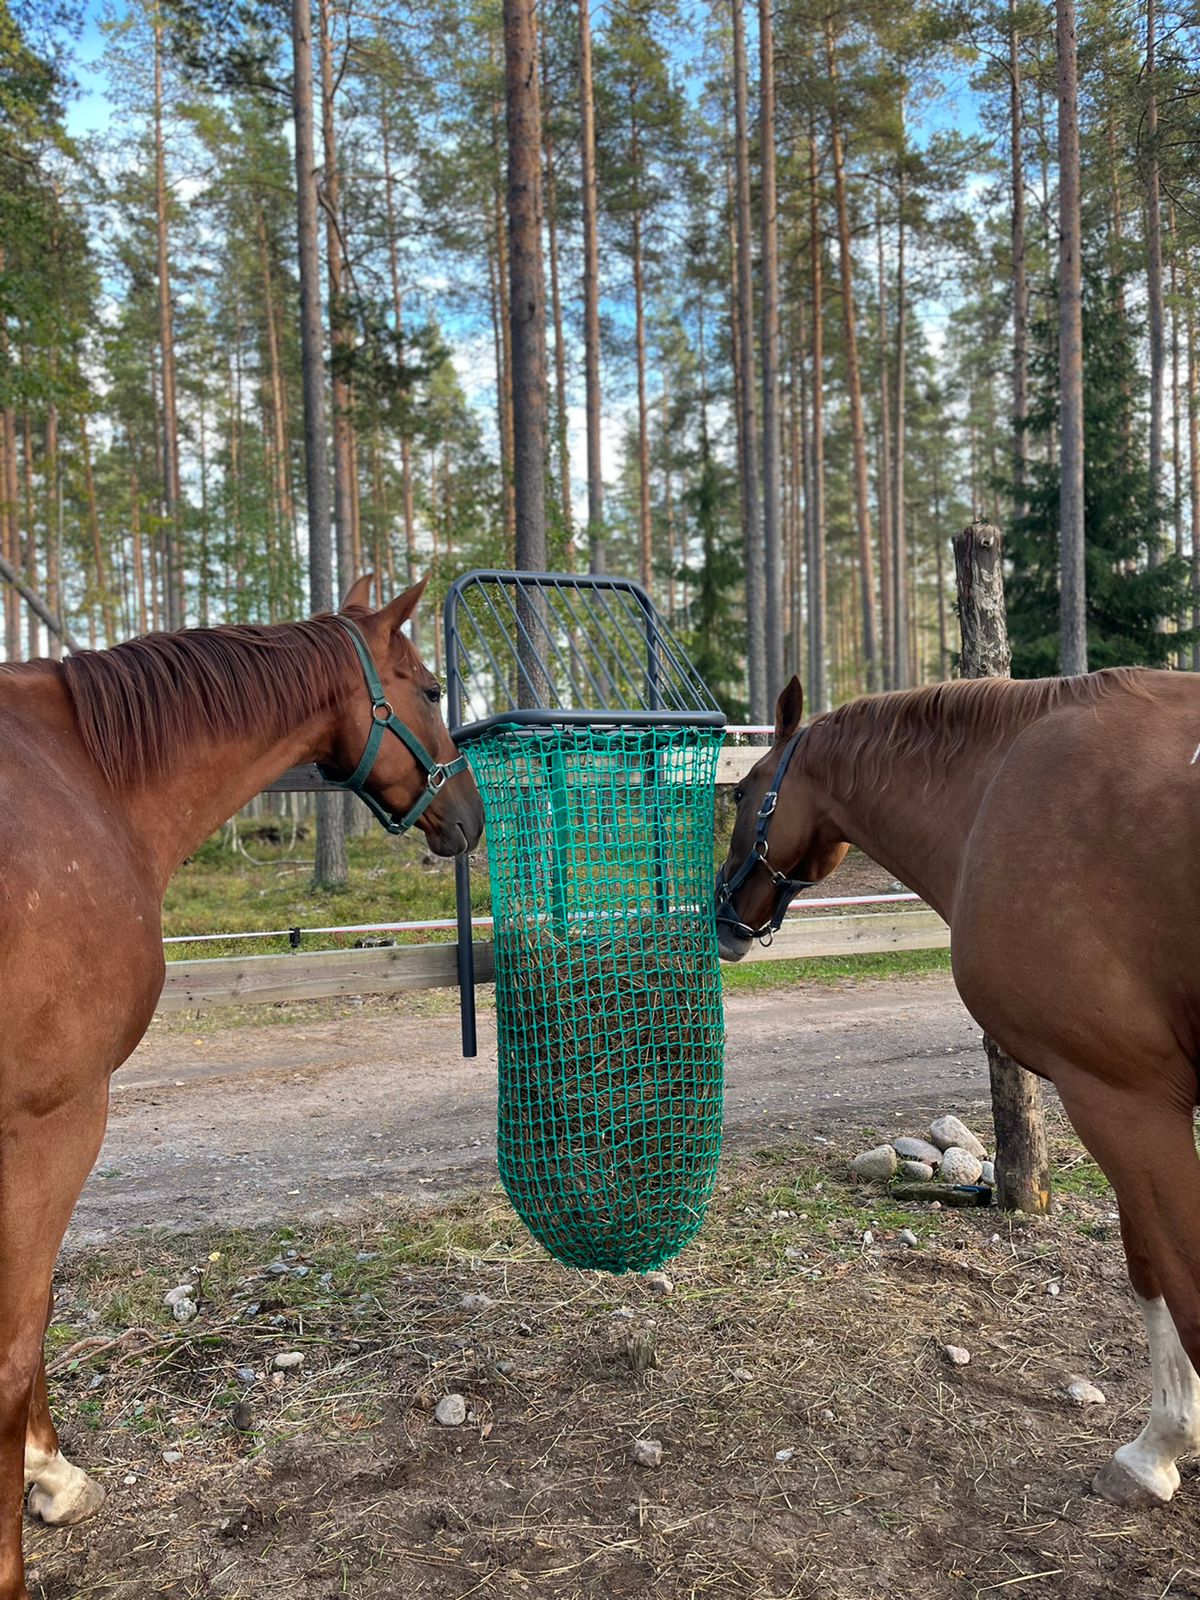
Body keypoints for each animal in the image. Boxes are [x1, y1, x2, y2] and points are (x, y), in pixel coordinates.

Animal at [0, 576, 483, 1600]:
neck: (90, 779)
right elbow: (21, 1329)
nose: (470, 812)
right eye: (427, 689)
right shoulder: (54, 1118)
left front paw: (46, 1470)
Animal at [723, 665, 1200, 1510]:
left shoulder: (1126, 1096)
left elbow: (1173, 1278)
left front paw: (1157, 1450)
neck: (1000, 784)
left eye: (743, 791)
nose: (718, 911)